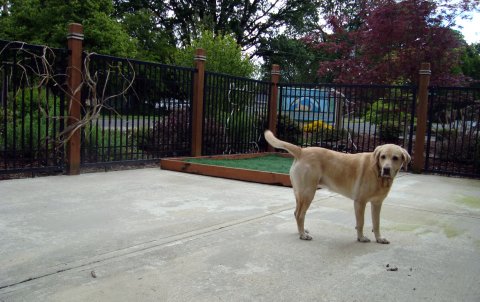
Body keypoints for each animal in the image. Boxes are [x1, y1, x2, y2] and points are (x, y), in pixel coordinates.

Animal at [264, 129, 410, 243]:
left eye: (395, 158)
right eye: (383, 157)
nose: (386, 169)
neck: (377, 172)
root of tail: (301, 150)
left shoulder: (377, 204)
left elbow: (377, 223)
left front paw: (379, 238)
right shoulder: (360, 202)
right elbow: (361, 222)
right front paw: (361, 238)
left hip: (300, 194)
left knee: (297, 213)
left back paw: (301, 231)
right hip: (308, 193)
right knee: (300, 214)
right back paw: (303, 235)